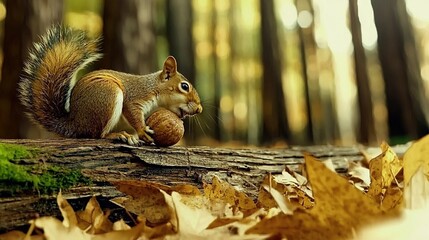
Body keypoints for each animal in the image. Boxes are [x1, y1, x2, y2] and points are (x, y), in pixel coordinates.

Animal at [18, 24, 202, 144]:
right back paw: (120, 136)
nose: (200, 109)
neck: (154, 88)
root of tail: (74, 123)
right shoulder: (135, 97)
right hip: (107, 95)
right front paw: (142, 131)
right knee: (97, 135)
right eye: (184, 86)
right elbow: (132, 113)